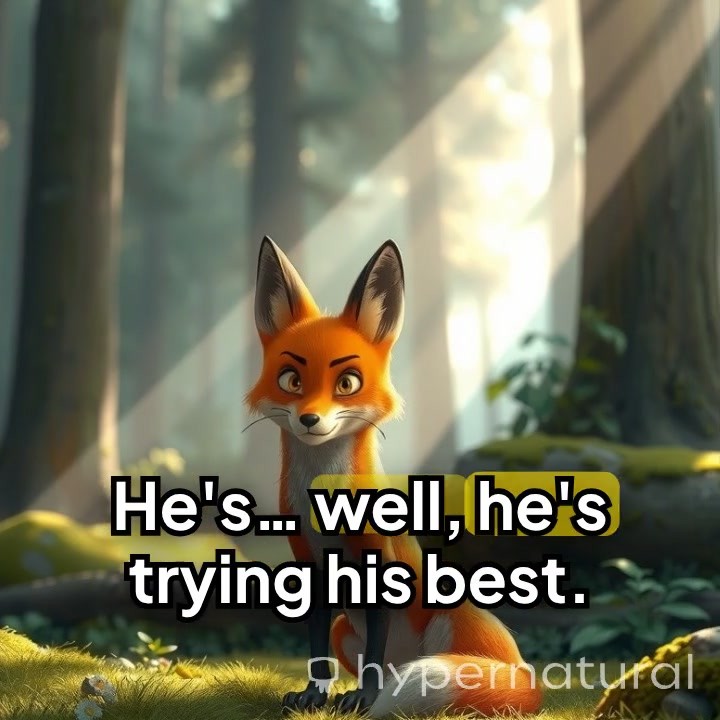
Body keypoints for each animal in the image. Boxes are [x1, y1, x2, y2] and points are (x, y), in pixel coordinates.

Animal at [246, 236, 542, 718]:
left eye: (347, 383)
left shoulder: (378, 561)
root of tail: (529, 675)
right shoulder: (310, 565)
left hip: (451, 618)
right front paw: (313, 696)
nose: (310, 419)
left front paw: (364, 699)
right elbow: (316, 650)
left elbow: (372, 658)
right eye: (291, 379)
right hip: (345, 630)